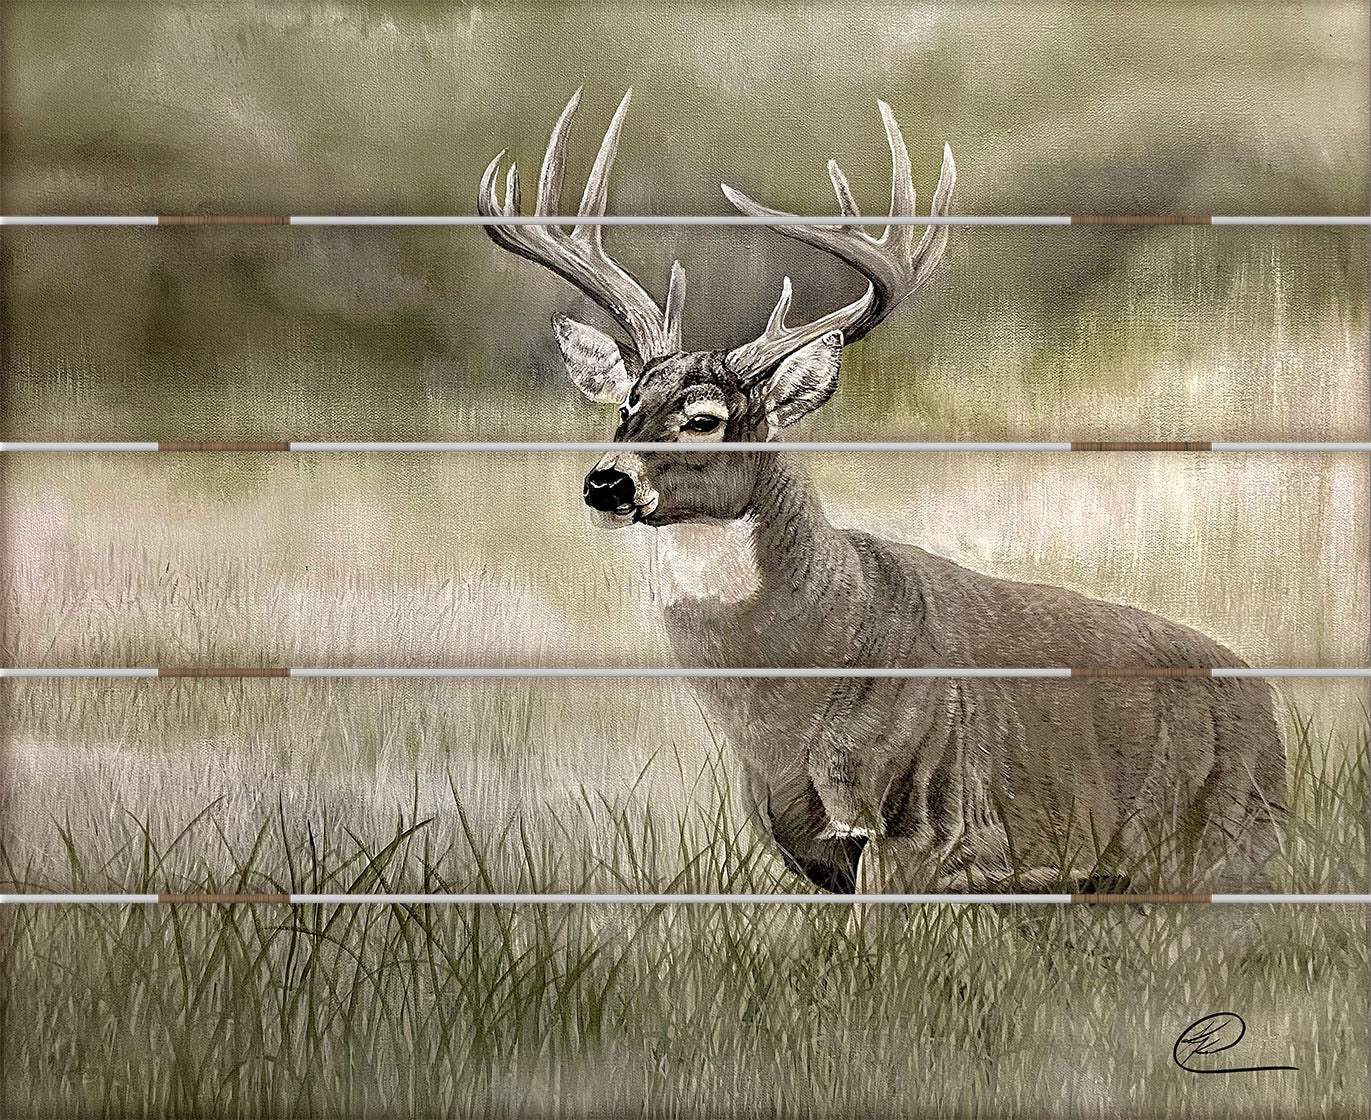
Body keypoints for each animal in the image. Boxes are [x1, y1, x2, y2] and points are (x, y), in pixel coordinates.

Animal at [478, 90, 1286, 897]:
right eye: (625, 405)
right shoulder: (808, 851)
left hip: (1233, 838)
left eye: (703, 419)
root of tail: (1267, 704)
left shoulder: (927, 825)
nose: (605, 481)